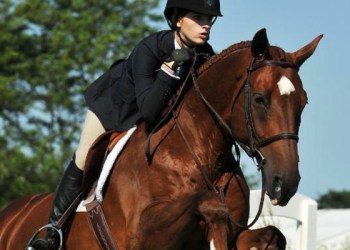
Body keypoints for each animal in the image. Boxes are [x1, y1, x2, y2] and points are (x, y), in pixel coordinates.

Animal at [0, 28, 322, 249]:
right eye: (259, 99)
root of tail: (11, 214)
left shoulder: (238, 231)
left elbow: (273, 234)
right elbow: (207, 205)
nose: (285, 183)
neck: (201, 155)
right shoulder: (142, 235)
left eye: (304, 103)